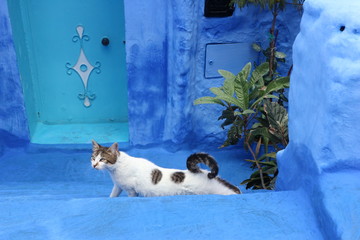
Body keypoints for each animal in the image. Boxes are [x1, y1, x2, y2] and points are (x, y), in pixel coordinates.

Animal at [90, 140, 242, 198]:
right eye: (93, 158)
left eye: (102, 159)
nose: (94, 165)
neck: (115, 170)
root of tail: (200, 171)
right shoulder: (118, 186)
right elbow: (113, 195)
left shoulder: (131, 190)